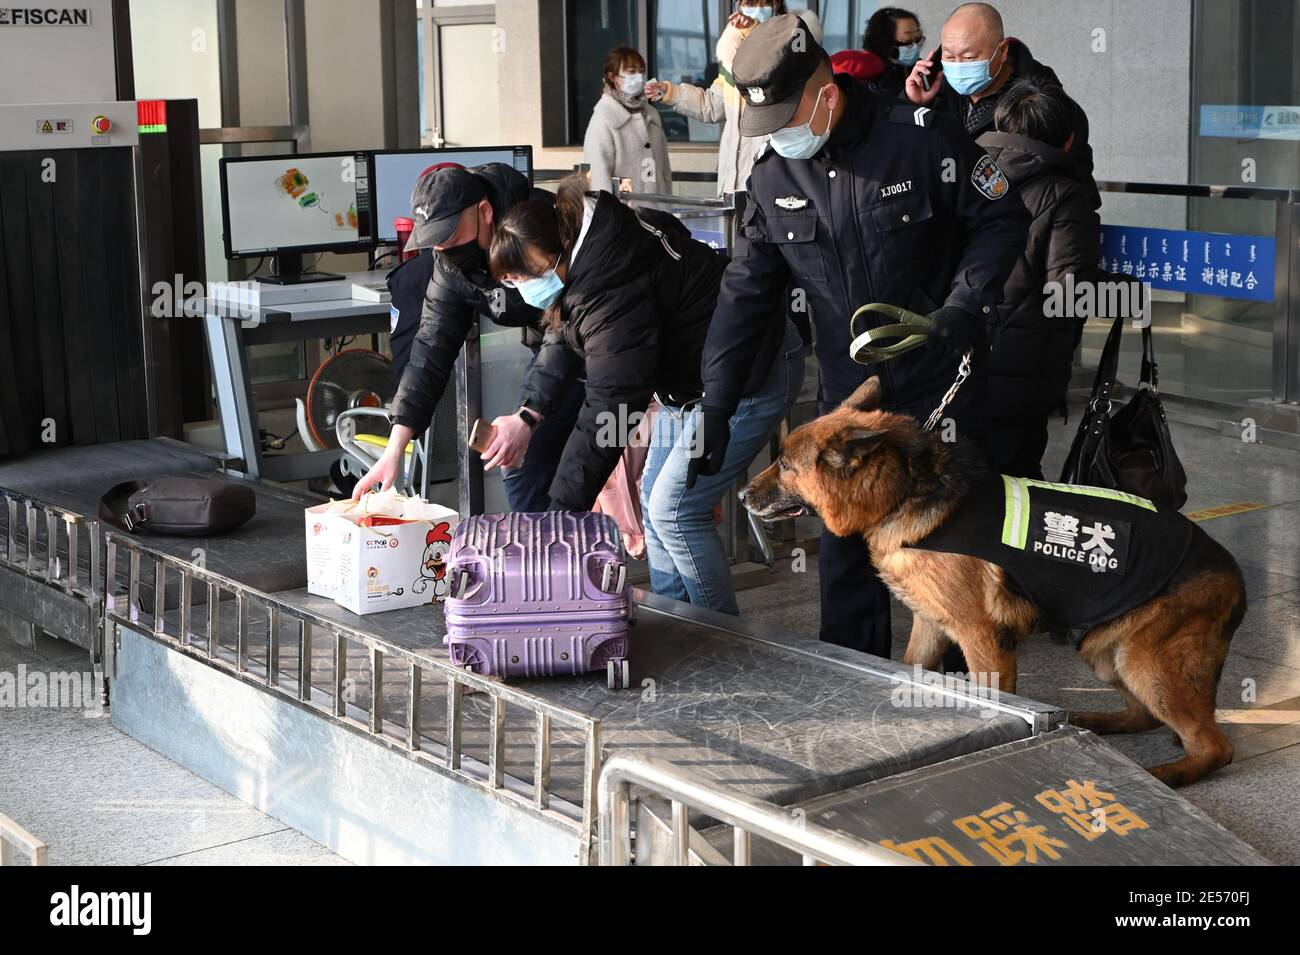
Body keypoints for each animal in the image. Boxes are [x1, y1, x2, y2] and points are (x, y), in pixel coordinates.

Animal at [743, 376, 1248, 789]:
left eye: (785, 465)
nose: (744, 494)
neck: (906, 492)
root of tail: (1234, 575)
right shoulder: (931, 624)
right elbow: (912, 666)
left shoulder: (981, 637)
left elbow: (996, 693)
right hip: (1106, 652)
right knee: (1145, 716)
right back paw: (1097, 722)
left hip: (1141, 660)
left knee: (1216, 747)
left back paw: (1170, 774)